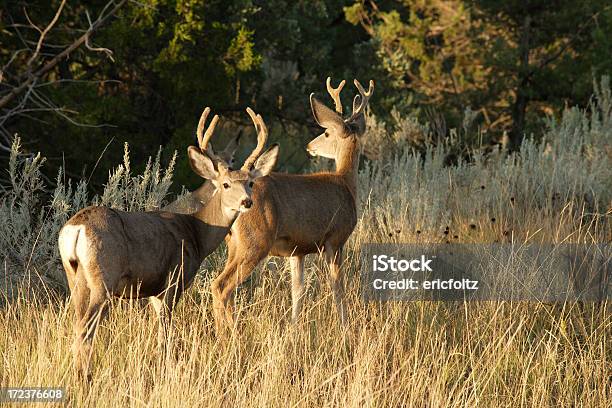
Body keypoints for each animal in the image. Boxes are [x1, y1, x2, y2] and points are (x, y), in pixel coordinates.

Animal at [56, 106, 278, 380]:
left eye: (250, 182)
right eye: (226, 184)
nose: (247, 202)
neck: (197, 232)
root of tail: (76, 228)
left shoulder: (153, 290)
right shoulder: (174, 279)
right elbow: (166, 332)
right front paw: (167, 366)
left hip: (74, 275)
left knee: (77, 322)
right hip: (104, 275)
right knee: (86, 326)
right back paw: (85, 376)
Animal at [210, 76, 372, 332]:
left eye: (326, 134)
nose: (309, 146)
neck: (345, 182)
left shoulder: (298, 250)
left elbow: (298, 290)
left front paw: (294, 328)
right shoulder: (335, 239)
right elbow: (338, 287)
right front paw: (345, 327)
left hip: (234, 244)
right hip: (255, 242)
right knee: (221, 286)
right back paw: (228, 334)